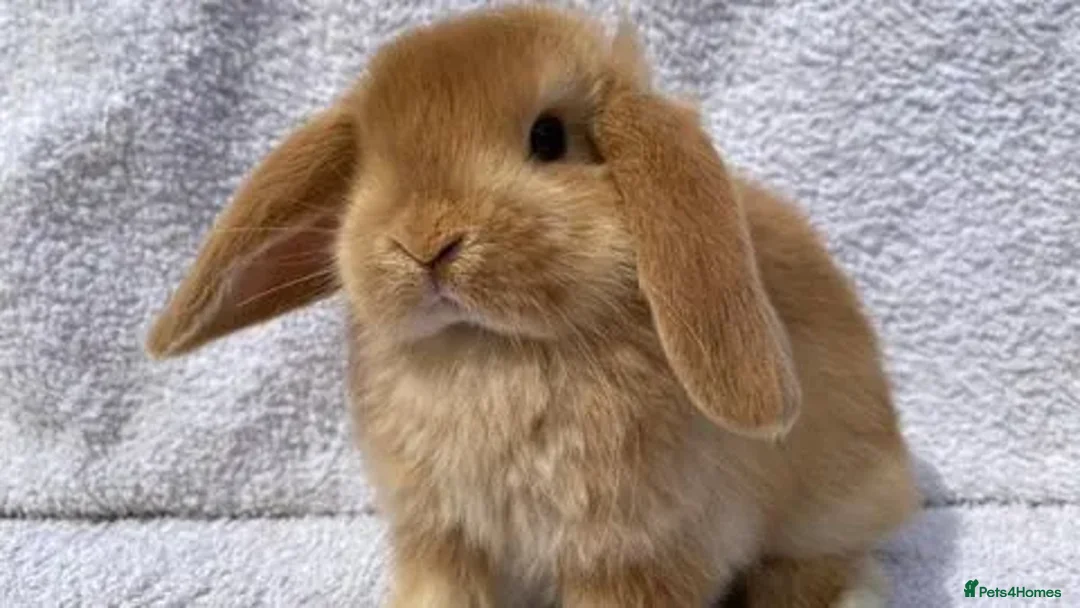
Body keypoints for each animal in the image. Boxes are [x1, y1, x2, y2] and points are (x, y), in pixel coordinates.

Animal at [146, 5, 920, 607]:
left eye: (548, 138)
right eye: (370, 165)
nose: (424, 241)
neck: (489, 347)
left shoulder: (631, 552)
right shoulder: (445, 536)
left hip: (836, 500)